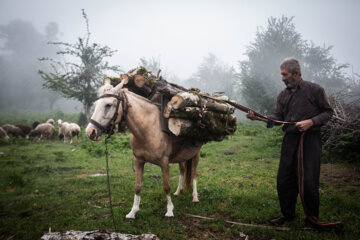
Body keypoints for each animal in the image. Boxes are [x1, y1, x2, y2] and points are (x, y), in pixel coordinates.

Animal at [84, 81, 202, 218]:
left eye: (108, 105)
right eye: (95, 105)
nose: (90, 132)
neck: (149, 129)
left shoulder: (164, 162)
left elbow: (166, 186)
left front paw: (169, 210)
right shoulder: (138, 161)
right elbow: (137, 186)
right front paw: (133, 212)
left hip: (196, 155)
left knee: (194, 173)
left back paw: (195, 197)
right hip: (182, 156)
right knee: (182, 170)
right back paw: (178, 191)